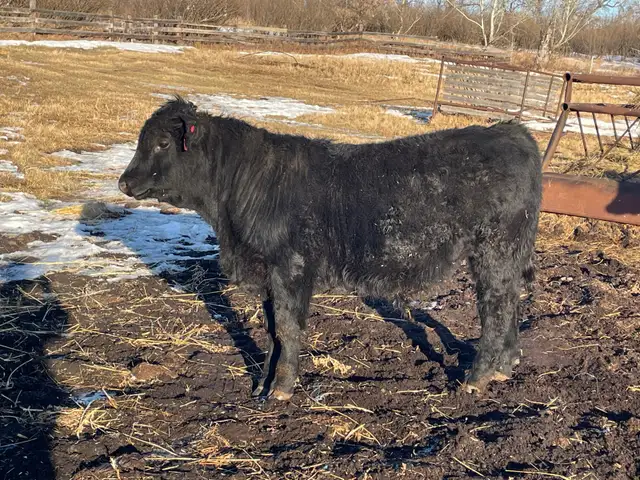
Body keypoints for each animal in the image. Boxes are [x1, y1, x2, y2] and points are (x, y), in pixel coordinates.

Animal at [118, 97, 542, 401]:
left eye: (162, 142)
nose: (123, 182)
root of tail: (510, 131)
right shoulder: (268, 275)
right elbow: (272, 330)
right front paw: (262, 387)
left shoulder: (290, 269)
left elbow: (288, 328)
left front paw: (282, 390)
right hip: (506, 254)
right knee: (510, 302)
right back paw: (504, 366)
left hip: (495, 250)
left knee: (495, 308)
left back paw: (477, 377)